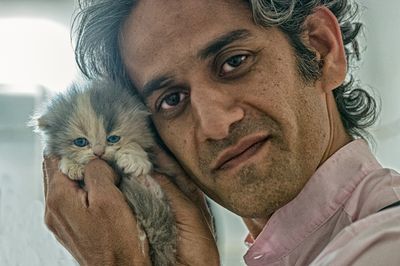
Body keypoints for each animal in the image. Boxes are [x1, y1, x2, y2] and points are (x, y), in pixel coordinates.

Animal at [30, 79, 177, 266]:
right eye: (80, 142)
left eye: (113, 139)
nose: (98, 152)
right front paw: (72, 165)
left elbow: (137, 147)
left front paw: (134, 159)